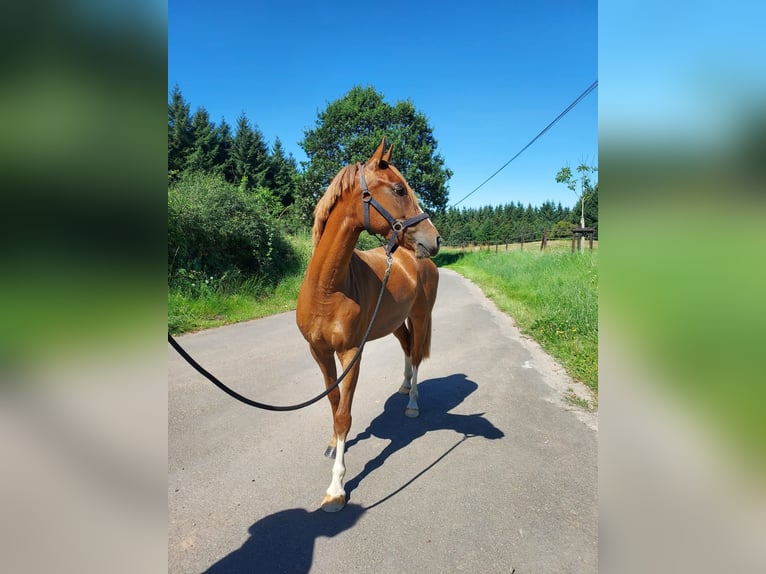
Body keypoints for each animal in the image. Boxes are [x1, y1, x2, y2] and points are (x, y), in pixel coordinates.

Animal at [300, 138, 444, 512]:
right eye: (399, 189)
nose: (435, 240)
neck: (328, 288)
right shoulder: (319, 352)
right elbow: (334, 403)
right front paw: (334, 445)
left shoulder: (351, 353)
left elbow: (344, 415)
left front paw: (336, 488)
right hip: (395, 323)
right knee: (407, 348)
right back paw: (404, 388)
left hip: (421, 316)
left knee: (418, 355)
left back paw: (412, 404)